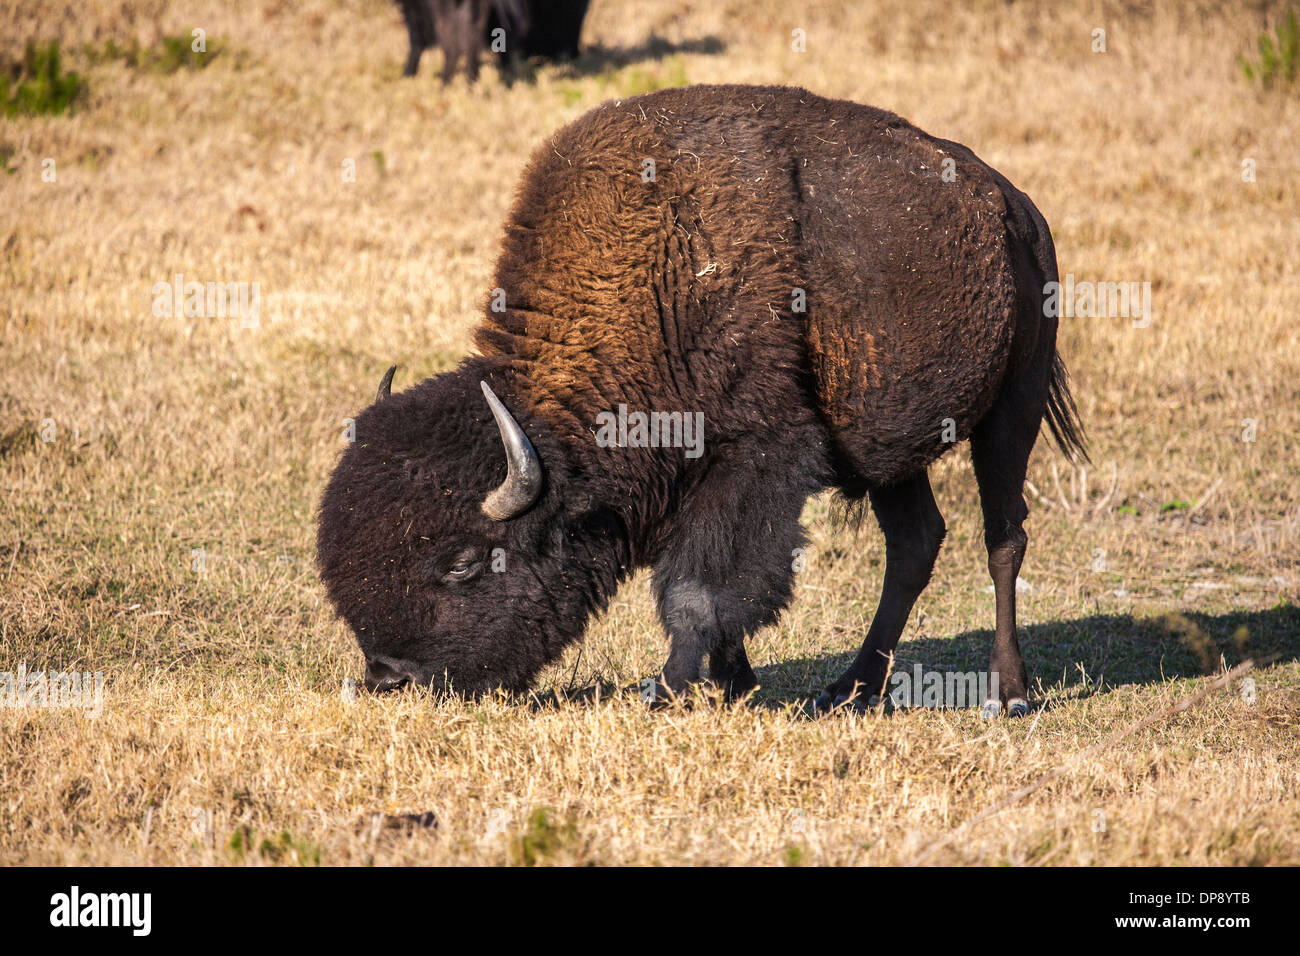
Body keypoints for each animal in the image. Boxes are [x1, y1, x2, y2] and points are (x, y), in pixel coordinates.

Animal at [317, 83, 1086, 717]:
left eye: (464, 564)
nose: (390, 677)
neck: (657, 270)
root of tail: (1015, 210)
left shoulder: (752, 458)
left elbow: (699, 588)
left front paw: (669, 691)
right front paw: (733, 683)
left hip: (1011, 412)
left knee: (1003, 537)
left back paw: (1008, 694)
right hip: (889, 451)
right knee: (915, 544)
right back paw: (849, 690)